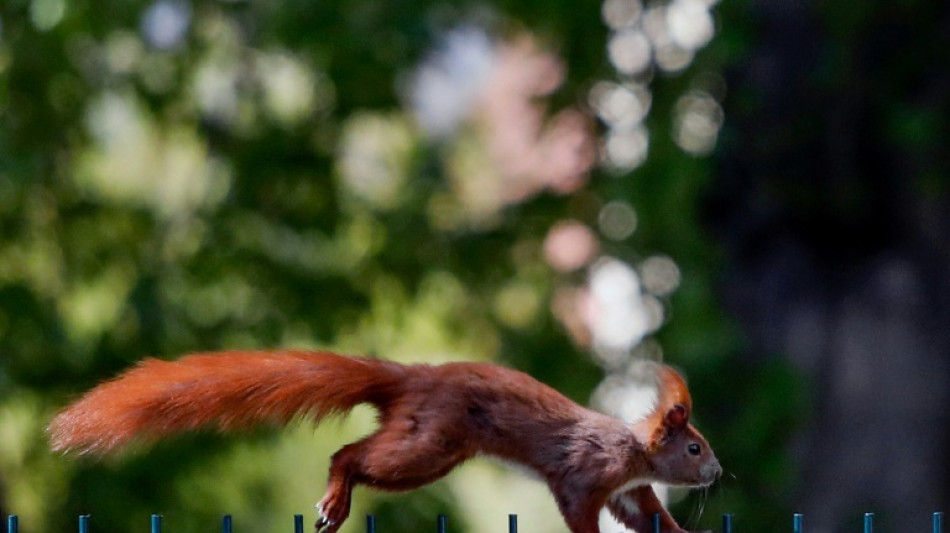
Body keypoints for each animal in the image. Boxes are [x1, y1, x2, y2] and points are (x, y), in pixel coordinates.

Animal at [48, 350, 720, 532]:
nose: (717, 473)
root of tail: (412, 377)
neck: (633, 453)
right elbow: (580, 511)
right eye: (694, 448)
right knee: (349, 456)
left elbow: (650, 517)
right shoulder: (585, 473)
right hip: (429, 446)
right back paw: (335, 499)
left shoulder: (630, 491)